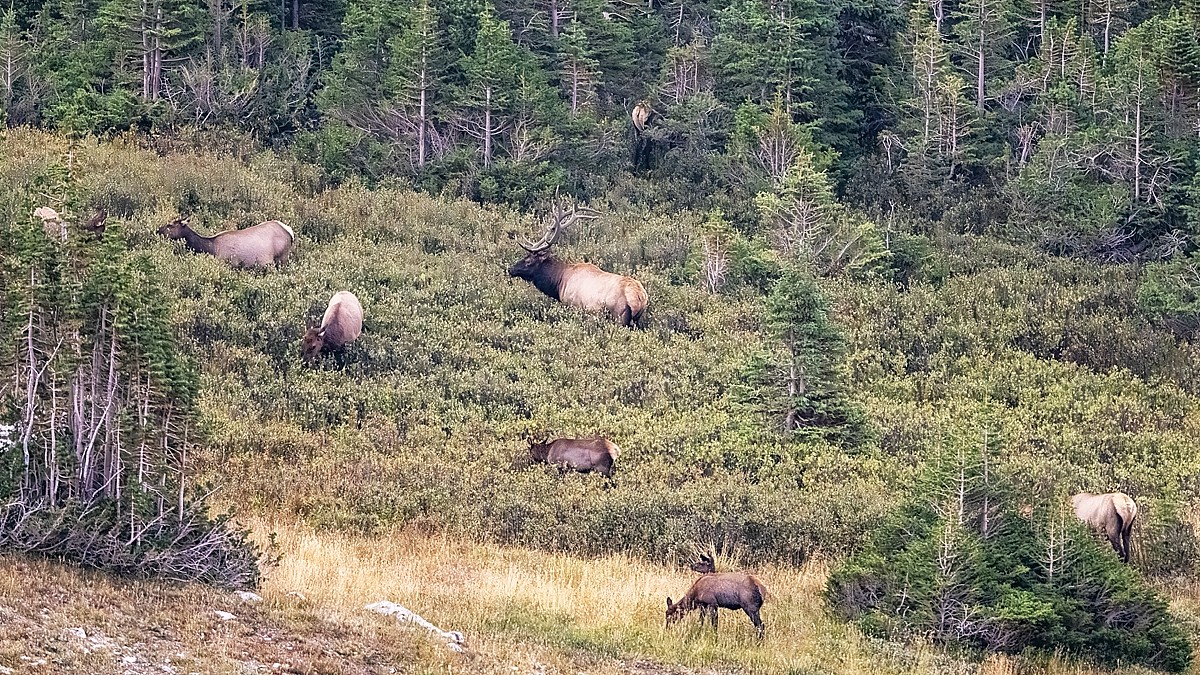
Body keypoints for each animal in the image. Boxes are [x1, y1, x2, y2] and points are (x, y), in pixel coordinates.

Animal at [157, 214, 295, 267]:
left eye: (170, 225)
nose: (157, 230)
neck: (211, 248)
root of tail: (290, 232)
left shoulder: (231, 263)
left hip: (282, 258)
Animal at [511, 204, 652, 326]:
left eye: (528, 260)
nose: (510, 269)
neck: (559, 283)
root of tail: (640, 297)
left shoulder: (574, 305)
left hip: (619, 315)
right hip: (637, 319)